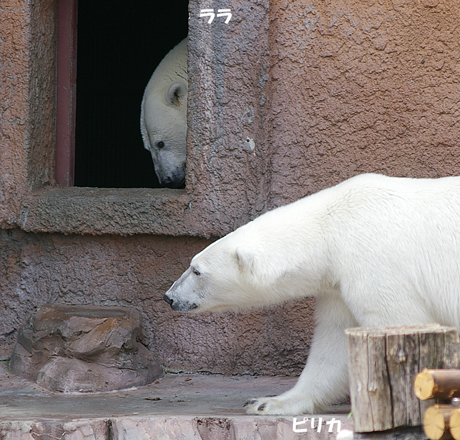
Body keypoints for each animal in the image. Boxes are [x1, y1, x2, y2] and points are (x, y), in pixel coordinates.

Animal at [163, 173, 460, 416]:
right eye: (192, 264)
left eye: (197, 270)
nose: (170, 297)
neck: (334, 227)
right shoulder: (338, 284)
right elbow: (333, 344)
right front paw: (266, 402)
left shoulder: (374, 263)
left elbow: (399, 322)